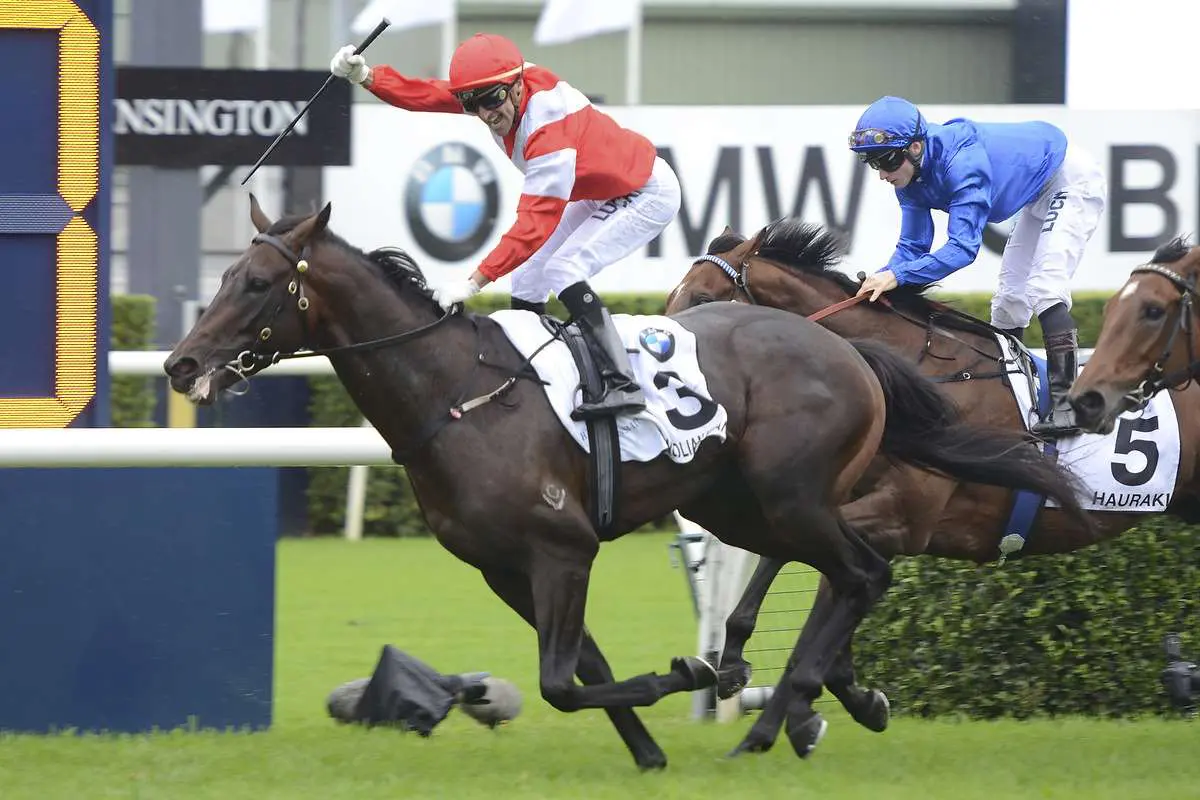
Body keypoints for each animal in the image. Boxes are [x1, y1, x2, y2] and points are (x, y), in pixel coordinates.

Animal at [164, 196, 1094, 767]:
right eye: (222, 277)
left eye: (256, 283)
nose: (181, 365)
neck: (454, 393)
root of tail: (852, 349)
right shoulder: (507, 566)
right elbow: (580, 669)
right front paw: (649, 749)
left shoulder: (561, 546)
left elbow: (556, 680)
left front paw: (686, 675)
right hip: (747, 505)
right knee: (842, 572)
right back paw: (828, 697)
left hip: (792, 497)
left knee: (864, 571)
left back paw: (777, 713)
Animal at [667, 219, 1200, 758]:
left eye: (702, 298)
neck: (920, 374)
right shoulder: (831, 505)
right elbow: (801, 569)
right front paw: (761, 676)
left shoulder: (901, 517)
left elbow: (818, 589)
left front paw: (799, 707)